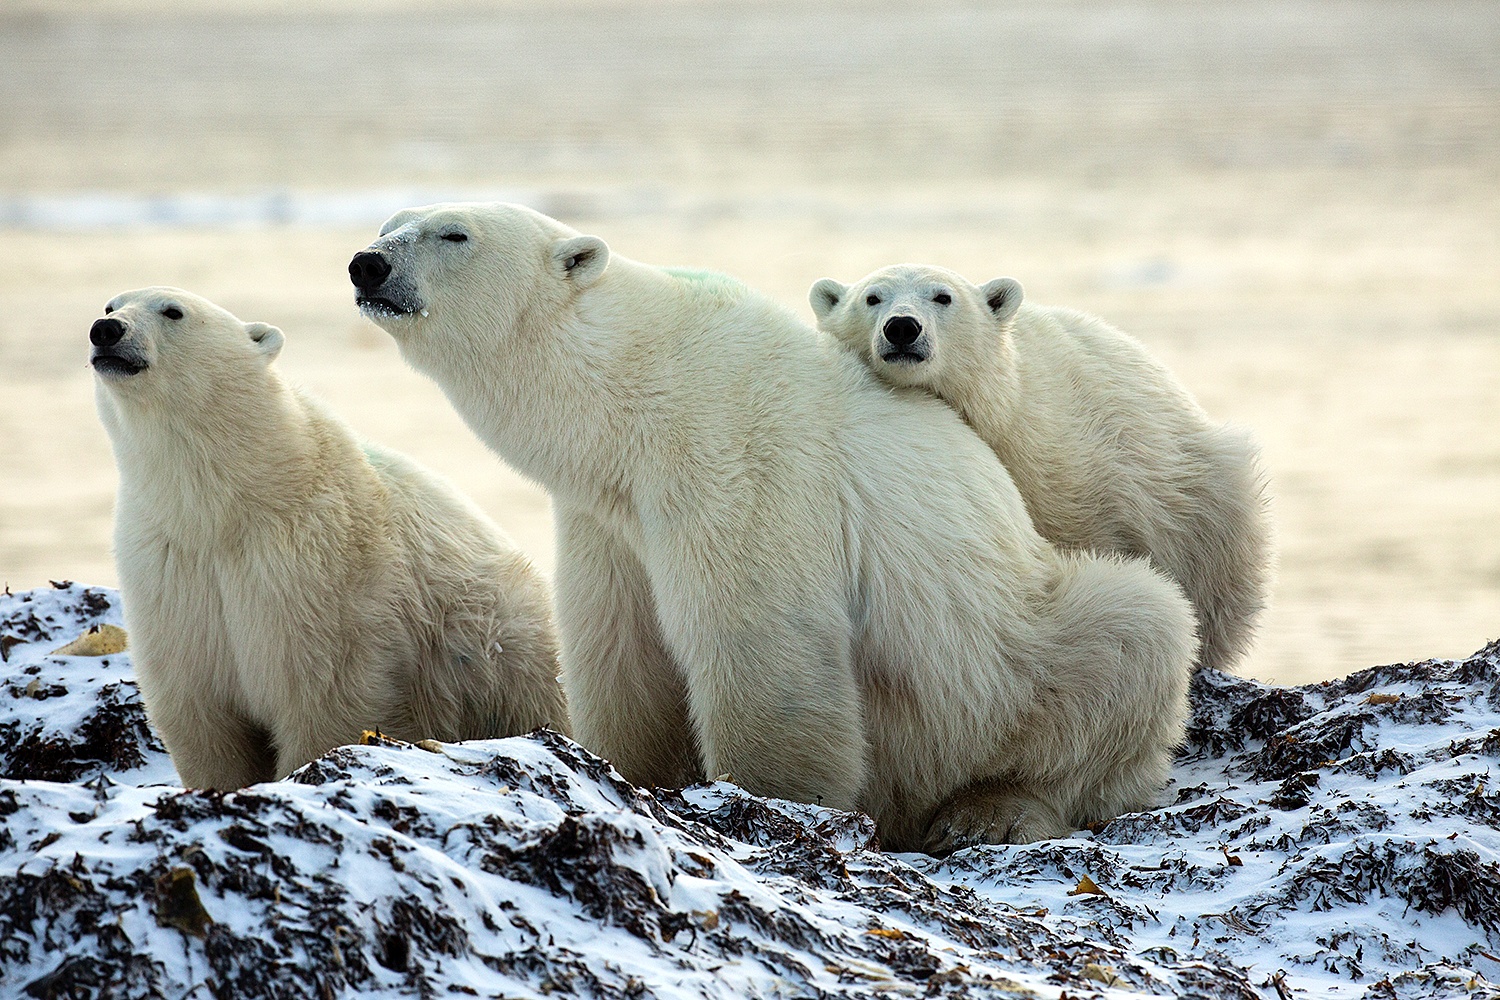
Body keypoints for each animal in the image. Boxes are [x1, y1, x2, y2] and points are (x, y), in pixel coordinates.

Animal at [89, 287, 567, 791]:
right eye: (110, 305)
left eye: (173, 311)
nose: (106, 330)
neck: (225, 506)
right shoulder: (173, 567)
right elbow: (203, 716)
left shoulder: (315, 566)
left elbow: (324, 697)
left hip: (513, 654)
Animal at [348, 205, 1194, 851]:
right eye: (391, 223)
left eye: (454, 232)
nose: (365, 265)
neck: (635, 390)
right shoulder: (609, 516)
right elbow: (619, 648)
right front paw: (625, 773)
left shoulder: (737, 459)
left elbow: (764, 643)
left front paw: (766, 800)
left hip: (1004, 654)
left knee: (1132, 629)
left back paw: (994, 809)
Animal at [816, 262, 1272, 677]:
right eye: (872, 297)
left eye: (943, 296)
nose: (902, 327)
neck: (1002, 412)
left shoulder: (1068, 465)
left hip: (1205, 498)